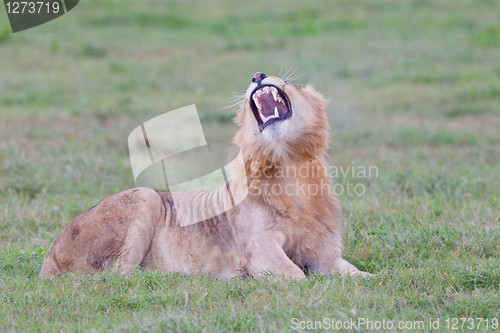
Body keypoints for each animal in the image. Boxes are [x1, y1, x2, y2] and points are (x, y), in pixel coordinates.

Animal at [41, 72, 372, 278]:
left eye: (290, 82)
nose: (258, 76)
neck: (289, 165)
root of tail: (50, 254)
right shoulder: (259, 249)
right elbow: (296, 276)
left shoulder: (325, 255)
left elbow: (363, 275)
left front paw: (372, 279)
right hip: (146, 197)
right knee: (120, 274)